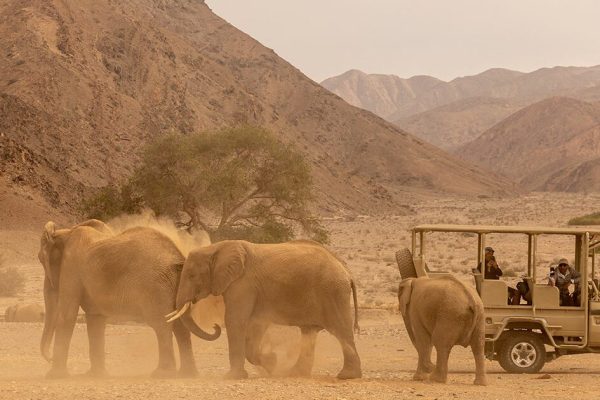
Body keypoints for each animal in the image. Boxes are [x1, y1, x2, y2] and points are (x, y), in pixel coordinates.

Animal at [35, 219, 219, 378]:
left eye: (40, 260)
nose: (48, 358)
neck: (66, 232)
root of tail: (178, 257)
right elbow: (95, 319)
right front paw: (95, 376)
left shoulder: (71, 267)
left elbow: (67, 315)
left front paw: (53, 377)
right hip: (175, 285)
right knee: (180, 325)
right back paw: (187, 375)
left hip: (155, 286)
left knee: (161, 324)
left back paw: (161, 374)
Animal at [166, 239, 360, 380]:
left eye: (192, 275)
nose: (214, 326)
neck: (217, 247)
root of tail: (347, 272)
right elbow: (255, 325)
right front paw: (272, 363)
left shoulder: (243, 284)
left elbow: (235, 320)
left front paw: (232, 377)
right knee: (309, 332)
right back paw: (295, 374)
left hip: (333, 292)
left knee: (341, 330)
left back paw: (347, 376)